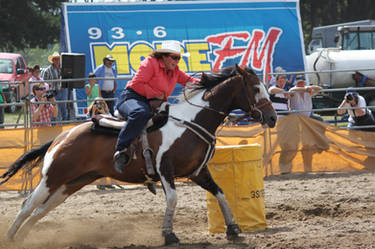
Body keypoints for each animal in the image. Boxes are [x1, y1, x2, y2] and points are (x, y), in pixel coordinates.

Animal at [0, 64, 276, 245]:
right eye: (255, 88)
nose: (272, 117)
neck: (190, 121)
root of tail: (61, 136)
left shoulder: (198, 172)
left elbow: (220, 193)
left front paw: (233, 228)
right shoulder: (165, 171)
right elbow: (173, 199)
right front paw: (169, 235)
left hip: (74, 182)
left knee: (41, 210)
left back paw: (24, 238)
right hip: (53, 176)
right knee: (28, 205)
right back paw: (12, 237)